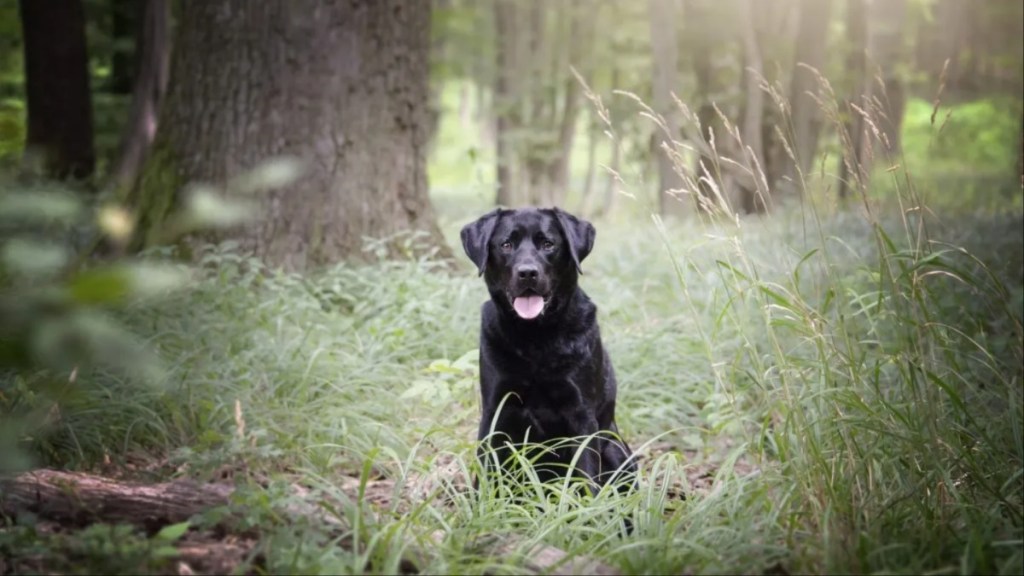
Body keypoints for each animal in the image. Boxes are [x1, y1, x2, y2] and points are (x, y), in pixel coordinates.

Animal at [458, 206, 630, 494]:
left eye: (548, 244)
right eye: (506, 245)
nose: (528, 273)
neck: (535, 339)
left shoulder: (582, 415)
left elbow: (586, 476)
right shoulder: (495, 410)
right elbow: (486, 473)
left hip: (617, 449)